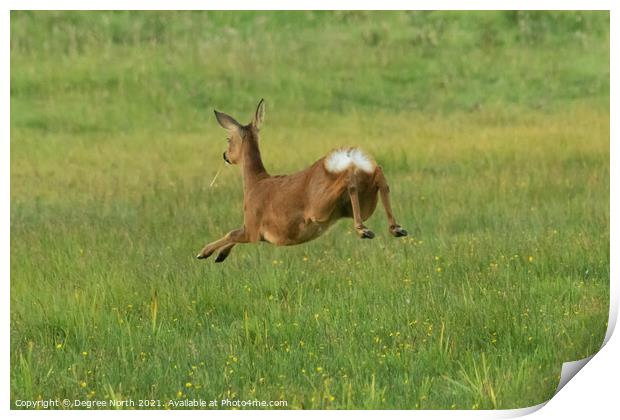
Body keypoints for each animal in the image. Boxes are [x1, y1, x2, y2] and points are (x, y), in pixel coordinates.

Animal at [195, 99, 406, 262]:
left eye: (228, 139)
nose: (225, 156)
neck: (254, 183)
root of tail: (350, 158)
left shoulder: (253, 227)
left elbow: (231, 233)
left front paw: (203, 253)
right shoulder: (254, 232)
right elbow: (233, 236)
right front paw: (220, 255)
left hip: (320, 207)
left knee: (349, 180)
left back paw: (364, 230)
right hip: (366, 200)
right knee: (378, 175)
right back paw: (396, 228)